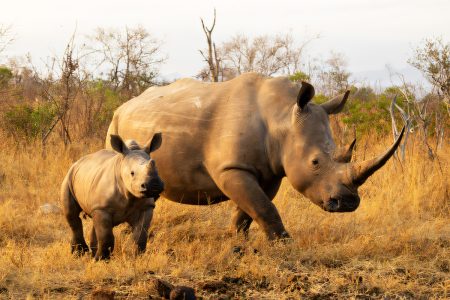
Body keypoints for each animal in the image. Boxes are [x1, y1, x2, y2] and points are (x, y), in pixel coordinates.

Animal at [106, 72, 404, 239]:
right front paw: (284, 243)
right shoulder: (231, 168)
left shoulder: (271, 171)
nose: (348, 203)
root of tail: (124, 105)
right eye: (315, 162)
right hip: (115, 125)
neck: (282, 115)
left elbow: (252, 208)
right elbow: (262, 206)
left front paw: (236, 240)